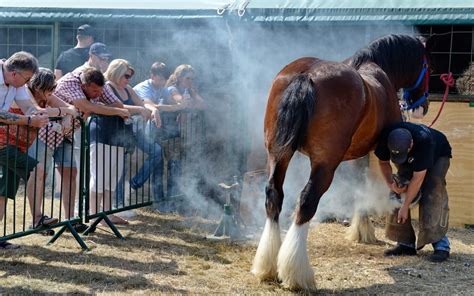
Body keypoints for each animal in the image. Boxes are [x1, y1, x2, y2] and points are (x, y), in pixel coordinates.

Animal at [254, 34, 432, 290]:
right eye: (427, 66)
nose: (422, 107)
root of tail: (306, 75)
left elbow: (358, 183)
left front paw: (361, 229)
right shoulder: (382, 149)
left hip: (278, 154)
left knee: (273, 196)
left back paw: (268, 266)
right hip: (325, 163)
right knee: (306, 202)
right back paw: (297, 273)